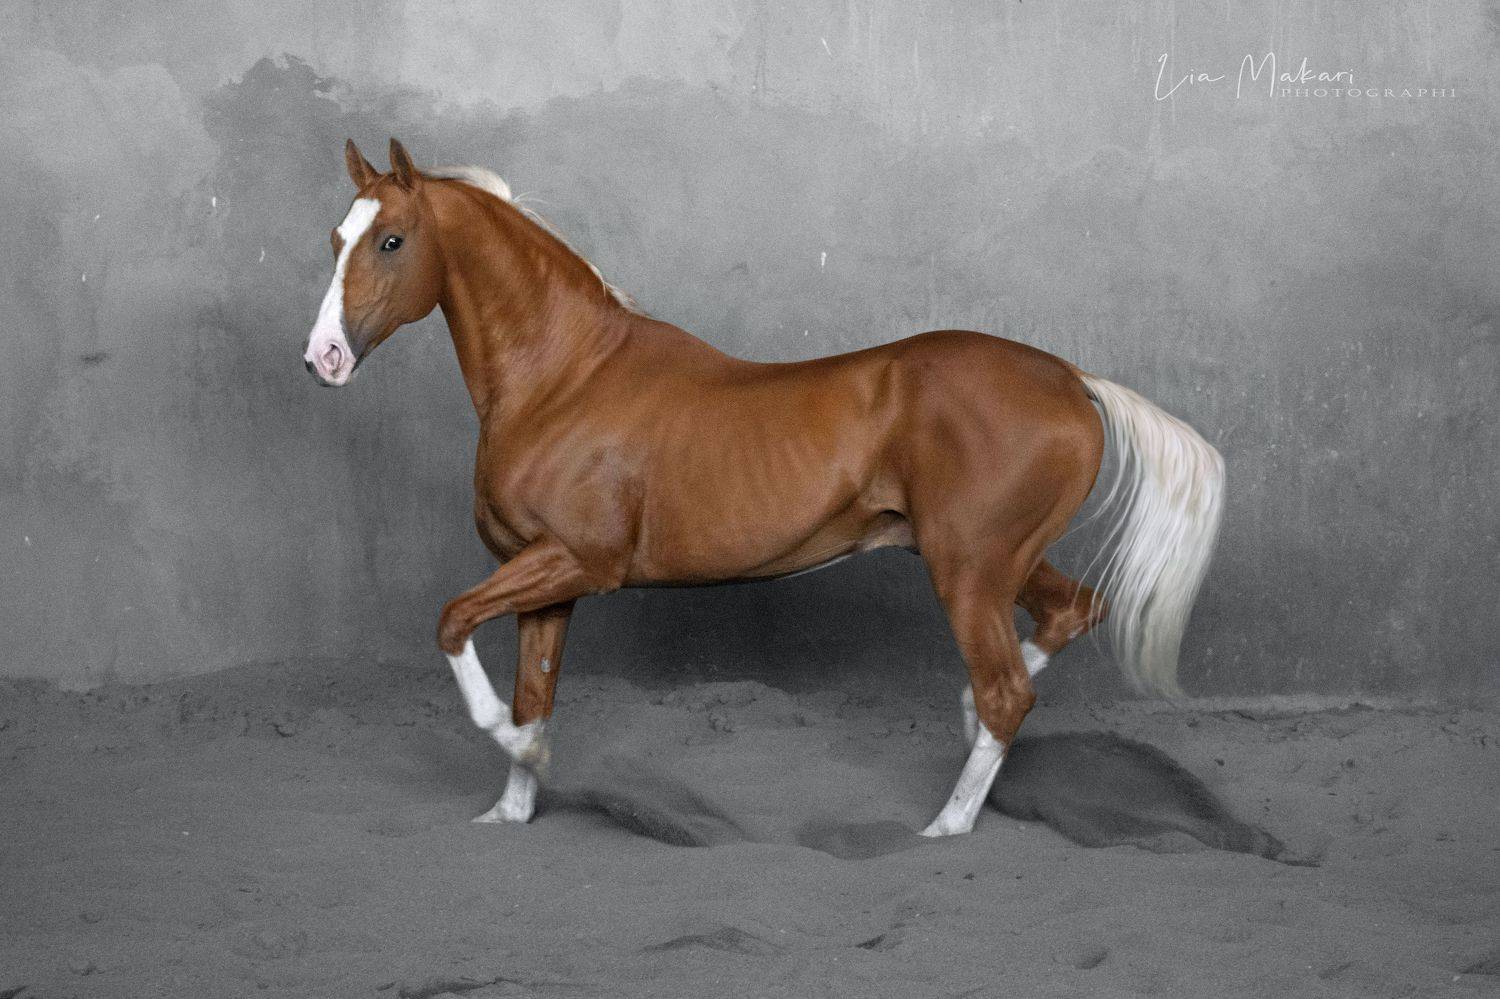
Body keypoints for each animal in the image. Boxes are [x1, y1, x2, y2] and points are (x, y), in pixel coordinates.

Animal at [302, 138, 1225, 837]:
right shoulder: (545, 583)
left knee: (1010, 692)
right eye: (337, 238)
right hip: (994, 560)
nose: (324, 360)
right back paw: (963, 724)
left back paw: (944, 825)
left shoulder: (577, 562)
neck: (563, 379)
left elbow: (453, 624)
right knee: (1070, 616)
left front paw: (519, 754)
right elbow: (535, 693)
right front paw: (512, 808)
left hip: (969, 568)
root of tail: (1073, 380)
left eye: (392, 241)